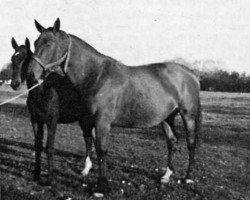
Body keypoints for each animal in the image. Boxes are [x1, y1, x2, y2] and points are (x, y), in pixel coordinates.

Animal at [10, 37, 95, 184]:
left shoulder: (52, 121)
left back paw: (85, 169)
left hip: (86, 121)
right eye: (12, 58)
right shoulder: (36, 120)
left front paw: (49, 179)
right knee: (89, 139)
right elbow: (38, 145)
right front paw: (36, 175)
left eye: (26, 57)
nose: (15, 84)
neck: (41, 89)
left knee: (89, 140)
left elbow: (49, 147)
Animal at [28, 18, 201, 194]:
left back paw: (188, 178)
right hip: (167, 117)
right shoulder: (91, 121)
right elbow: (95, 146)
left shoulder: (102, 121)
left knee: (191, 143)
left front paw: (101, 186)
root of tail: (191, 74)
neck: (97, 76)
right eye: (35, 43)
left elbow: (101, 149)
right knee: (172, 142)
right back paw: (166, 176)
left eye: (49, 43)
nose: (31, 74)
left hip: (188, 115)